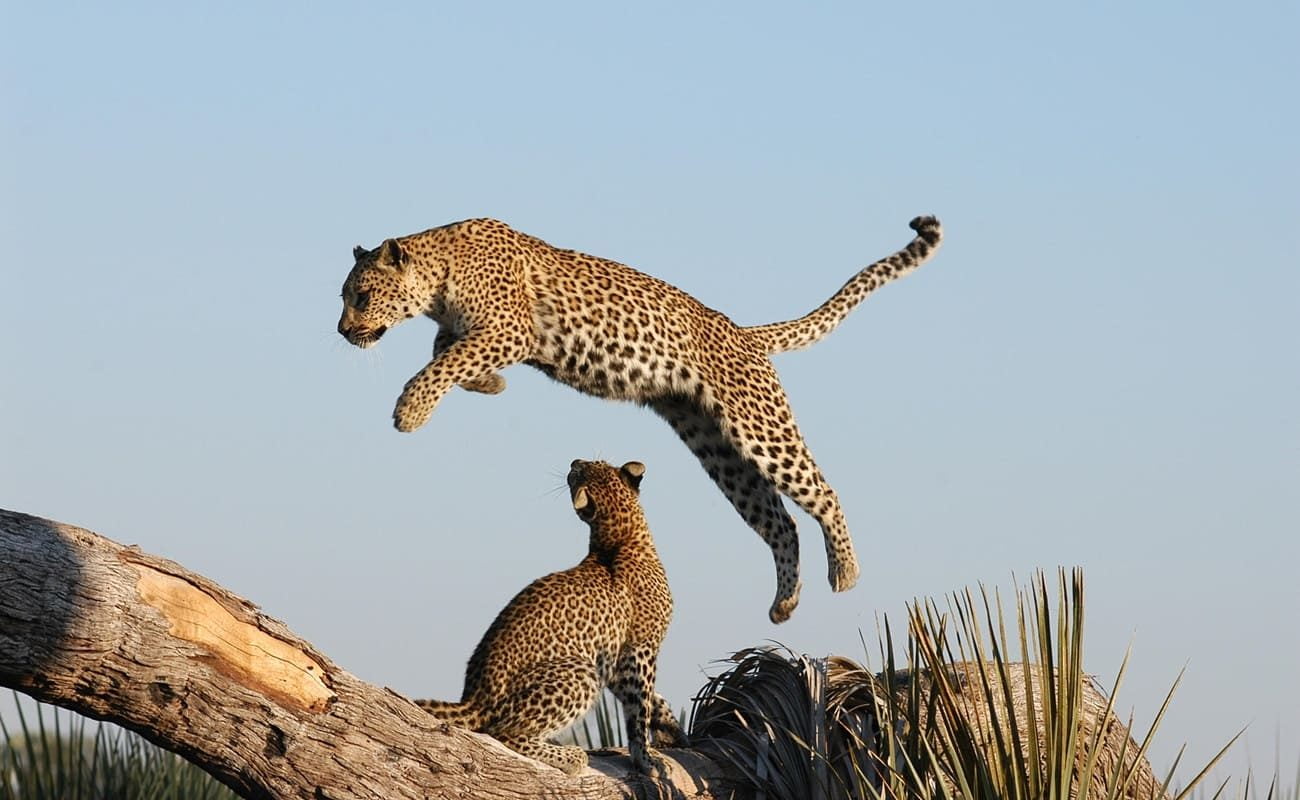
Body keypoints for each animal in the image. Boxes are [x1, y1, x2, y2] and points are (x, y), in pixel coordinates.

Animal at [337, 216, 943, 623]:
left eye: (360, 296)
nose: (343, 332)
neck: (438, 275)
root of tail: (745, 334)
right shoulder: (479, 334)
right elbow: (446, 355)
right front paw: (490, 384)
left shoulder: (509, 330)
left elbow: (441, 364)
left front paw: (410, 411)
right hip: (719, 450)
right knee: (779, 522)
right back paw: (785, 603)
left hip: (759, 427)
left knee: (822, 492)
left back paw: (846, 571)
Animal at [414, 459, 685, 776]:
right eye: (576, 472)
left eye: (593, 464)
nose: (573, 462)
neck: (619, 535)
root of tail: (473, 700)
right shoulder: (640, 648)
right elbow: (640, 707)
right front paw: (645, 758)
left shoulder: (615, 658)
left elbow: (652, 699)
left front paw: (673, 730)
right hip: (581, 671)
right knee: (503, 732)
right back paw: (571, 757)